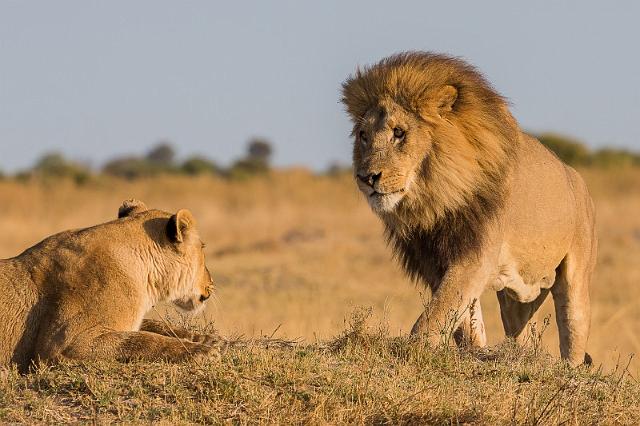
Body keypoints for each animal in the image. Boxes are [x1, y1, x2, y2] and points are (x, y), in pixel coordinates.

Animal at [0, 198, 218, 372]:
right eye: (203, 247)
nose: (212, 282)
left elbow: (156, 326)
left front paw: (209, 340)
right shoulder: (60, 345)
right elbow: (142, 340)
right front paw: (202, 351)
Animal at [342, 51, 596, 364]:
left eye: (399, 133)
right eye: (363, 135)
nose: (366, 177)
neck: (437, 198)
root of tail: (575, 177)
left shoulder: (476, 255)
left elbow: (438, 311)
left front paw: (414, 350)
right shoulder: (434, 261)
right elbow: (463, 319)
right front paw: (473, 353)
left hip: (577, 275)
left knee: (573, 328)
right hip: (516, 297)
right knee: (521, 330)